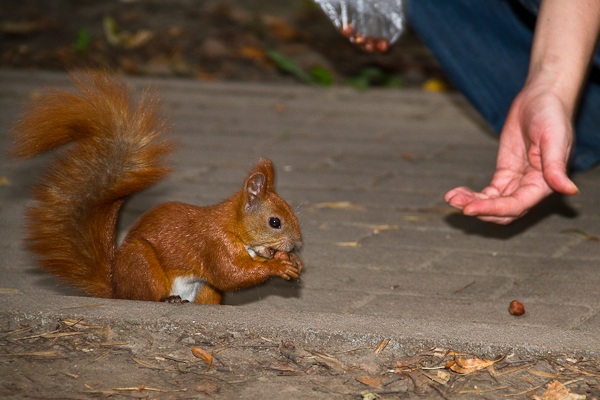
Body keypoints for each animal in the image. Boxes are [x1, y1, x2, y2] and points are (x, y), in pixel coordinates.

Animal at [12, 72, 304, 304]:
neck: (233, 226)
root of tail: (117, 290)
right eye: (275, 222)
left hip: (205, 290)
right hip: (141, 263)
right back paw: (168, 299)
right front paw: (279, 266)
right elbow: (231, 274)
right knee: (146, 294)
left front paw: (291, 261)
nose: (298, 245)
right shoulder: (213, 244)